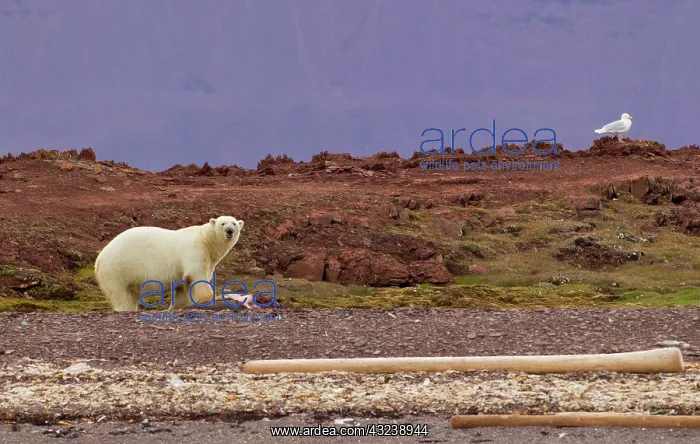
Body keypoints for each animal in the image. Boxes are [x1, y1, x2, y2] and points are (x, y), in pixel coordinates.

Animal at [94, 215, 244, 311]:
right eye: (222, 223)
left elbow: (184, 289)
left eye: (234, 223)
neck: (207, 240)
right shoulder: (195, 249)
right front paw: (210, 298)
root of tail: (99, 258)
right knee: (122, 296)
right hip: (118, 270)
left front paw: (175, 307)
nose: (229, 231)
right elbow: (197, 276)